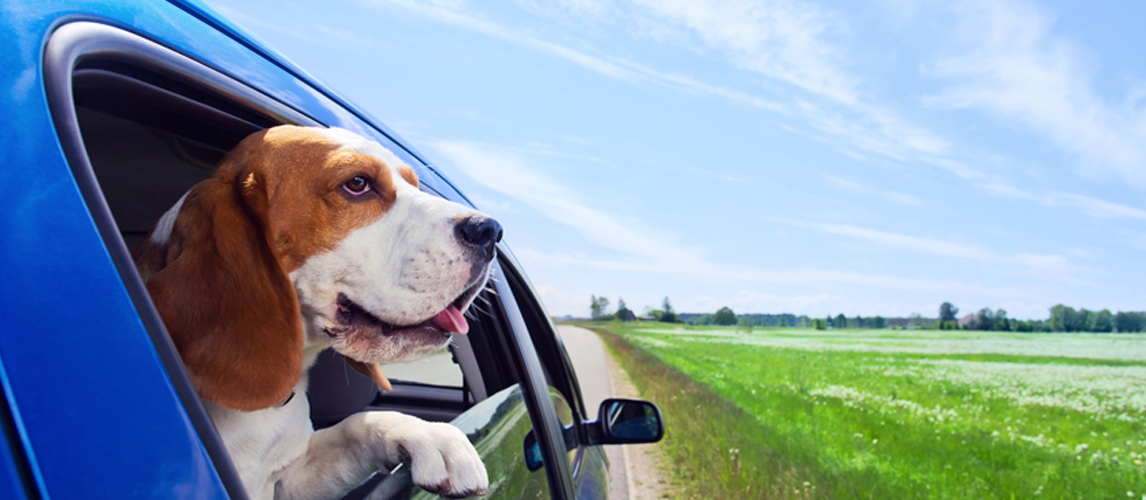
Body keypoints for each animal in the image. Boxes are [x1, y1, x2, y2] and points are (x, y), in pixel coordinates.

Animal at [131, 126, 497, 499]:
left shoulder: (292, 479)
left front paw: (433, 435)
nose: (490, 230)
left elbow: (355, 425)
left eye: (414, 184)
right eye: (357, 183)